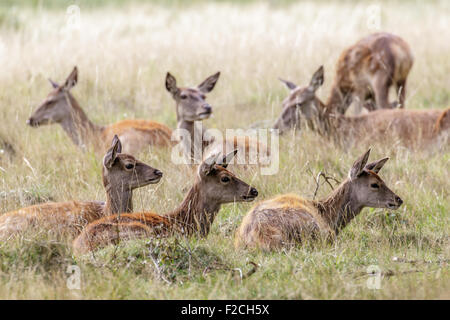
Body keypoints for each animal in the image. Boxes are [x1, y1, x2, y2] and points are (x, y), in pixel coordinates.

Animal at [72, 150, 258, 255]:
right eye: (225, 178)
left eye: (232, 173)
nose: (253, 190)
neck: (185, 223)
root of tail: (81, 246)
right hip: (140, 231)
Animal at [236, 149, 404, 251]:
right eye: (374, 184)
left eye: (382, 179)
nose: (398, 199)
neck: (327, 213)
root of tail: (259, 237)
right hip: (313, 229)